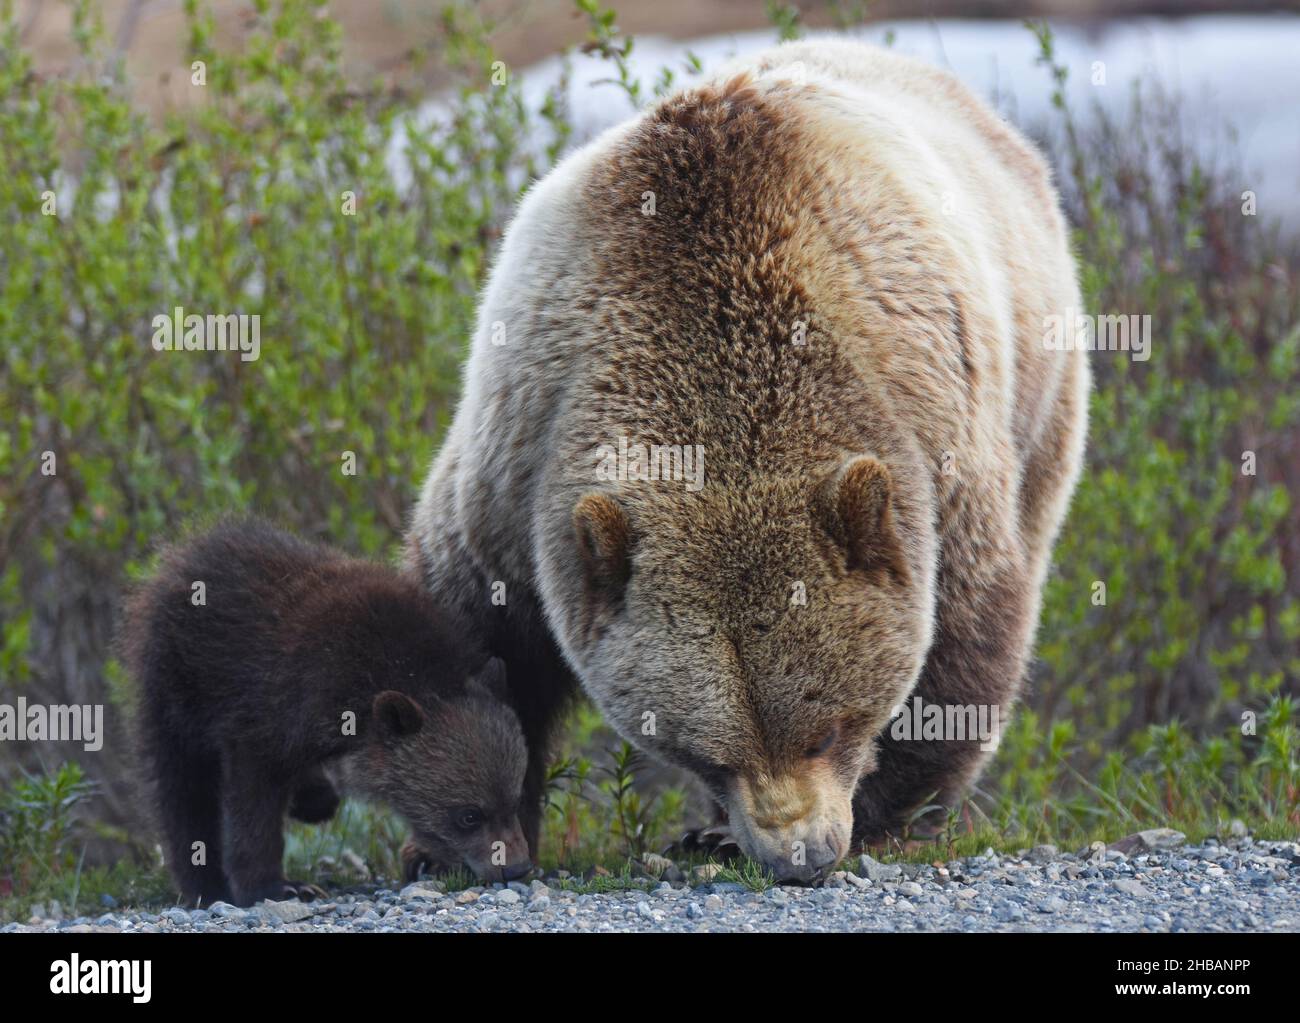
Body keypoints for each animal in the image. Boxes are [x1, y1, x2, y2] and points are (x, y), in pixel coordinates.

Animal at [122, 519, 527, 904]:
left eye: (515, 797)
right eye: (468, 815)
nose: (516, 867)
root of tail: (181, 555)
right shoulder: (271, 710)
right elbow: (252, 801)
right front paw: (277, 885)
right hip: (178, 688)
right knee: (182, 791)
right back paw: (203, 885)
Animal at [405, 43, 1086, 883]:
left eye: (828, 725)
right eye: (708, 753)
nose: (801, 852)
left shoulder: (932, 441)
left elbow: (963, 632)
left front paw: (887, 811)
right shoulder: (520, 458)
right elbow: (478, 638)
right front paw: (448, 838)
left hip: (1040, 381)